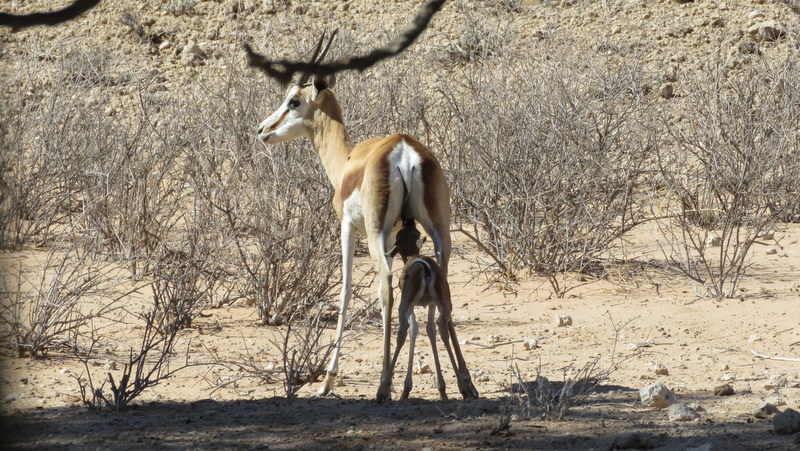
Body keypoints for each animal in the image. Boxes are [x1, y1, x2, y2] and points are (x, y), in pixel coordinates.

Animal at [256, 31, 453, 402]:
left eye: (293, 101)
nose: (262, 130)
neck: (348, 160)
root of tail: (403, 148)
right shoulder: (400, 237)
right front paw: (407, 383)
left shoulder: (348, 227)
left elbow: (346, 290)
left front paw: (327, 382)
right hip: (438, 231)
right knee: (439, 282)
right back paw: (458, 384)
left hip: (375, 235)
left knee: (387, 286)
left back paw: (382, 386)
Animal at [386, 218, 479, 400]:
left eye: (398, 237)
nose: (409, 221)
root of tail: (425, 268)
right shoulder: (432, 304)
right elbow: (430, 330)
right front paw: (442, 389)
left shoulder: (410, 306)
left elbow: (413, 330)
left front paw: (406, 389)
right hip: (445, 305)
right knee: (442, 328)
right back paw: (462, 388)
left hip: (404, 306)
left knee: (403, 331)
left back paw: (383, 389)